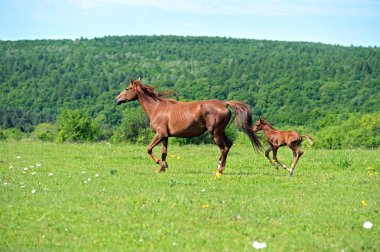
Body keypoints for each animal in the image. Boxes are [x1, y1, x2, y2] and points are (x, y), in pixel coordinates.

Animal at [114, 78, 262, 174]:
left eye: (127, 89)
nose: (116, 99)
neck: (157, 108)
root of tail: (224, 103)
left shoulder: (160, 134)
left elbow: (149, 149)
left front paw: (160, 164)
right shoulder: (165, 136)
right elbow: (164, 153)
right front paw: (162, 167)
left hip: (215, 133)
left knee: (224, 148)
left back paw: (220, 170)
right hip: (220, 131)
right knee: (229, 145)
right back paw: (219, 166)